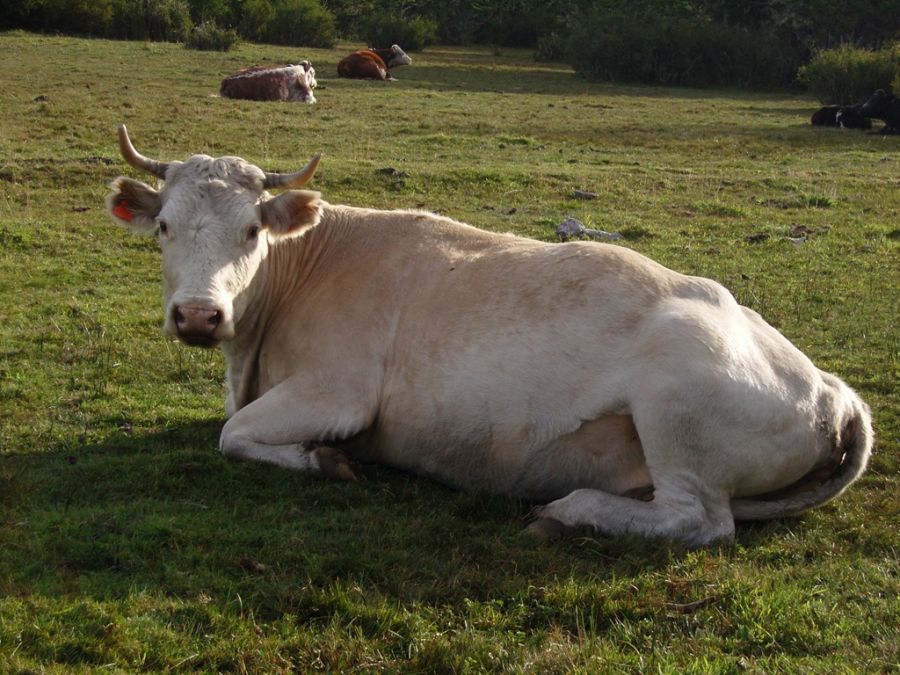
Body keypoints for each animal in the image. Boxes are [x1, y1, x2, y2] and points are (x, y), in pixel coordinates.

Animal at [105, 125, 872, 548]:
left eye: (252, 231)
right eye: (165, 226)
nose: (199, 315)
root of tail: (832, 389)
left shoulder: (338, 391)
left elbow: (233, 435)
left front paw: (327, 460)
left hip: (676, 410)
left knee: (699, 520)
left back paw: (567, 511)